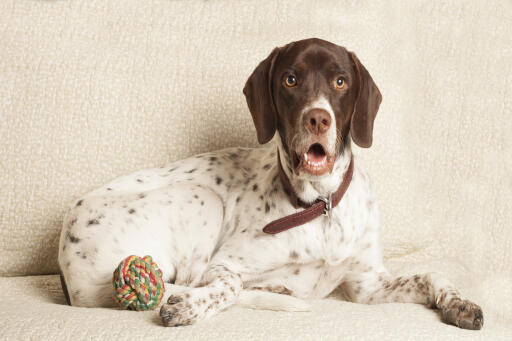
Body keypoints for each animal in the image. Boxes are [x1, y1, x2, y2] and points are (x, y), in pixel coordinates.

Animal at [60, 37, 484, 330]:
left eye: (341, 81)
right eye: (290, 79)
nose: (318, 119)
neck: (320, 206)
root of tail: (67, 267)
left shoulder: (366, 285)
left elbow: (431, 274)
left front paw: (459, 303)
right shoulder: (223, 264)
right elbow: (227, 285)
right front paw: (193, 306)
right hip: (201, 197)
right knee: (189, 281)